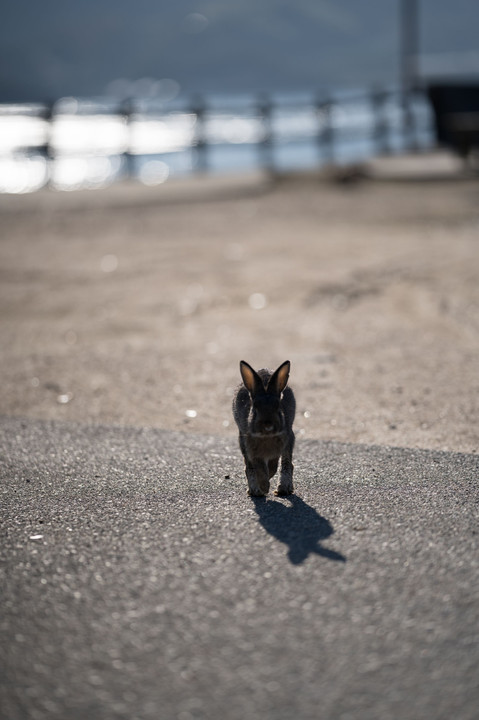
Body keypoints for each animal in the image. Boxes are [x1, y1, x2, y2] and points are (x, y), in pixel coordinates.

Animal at [233, 360, 296, 496]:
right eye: (255, 408)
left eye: (278, 407)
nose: (268, 426)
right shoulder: (251, 450)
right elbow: (259, 468)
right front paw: (263, 487)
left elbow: (273, 465)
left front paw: (268, 480)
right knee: (249, 467)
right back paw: (254, 490)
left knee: (287, 462)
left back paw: (284, 488)